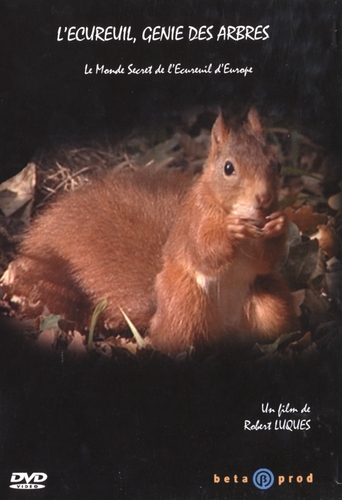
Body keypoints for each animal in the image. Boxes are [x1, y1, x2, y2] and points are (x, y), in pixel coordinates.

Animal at [8, 107, 296, 354]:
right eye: (228, 168)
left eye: (277, 165)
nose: (264, 198)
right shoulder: (194, 221)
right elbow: (203, 251)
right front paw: (230, 231)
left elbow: (265, 261)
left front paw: (278, 224)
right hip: (185, 305)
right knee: (169, 340)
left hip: (270, 303)